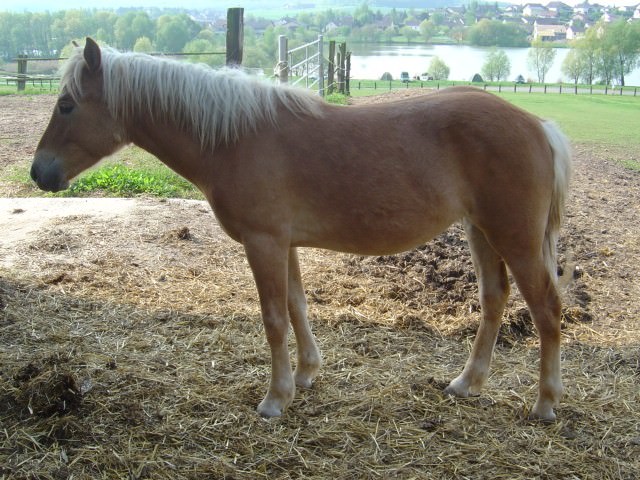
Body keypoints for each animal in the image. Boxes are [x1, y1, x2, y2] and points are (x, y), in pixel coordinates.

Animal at [31, 37, 568, 420]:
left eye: (66, 105)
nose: (40, 173)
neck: (234, 137)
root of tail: (538, 126)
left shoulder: (263, 241)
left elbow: (273, 319)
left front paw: (275, 398)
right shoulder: (282, 243)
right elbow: (297, 306)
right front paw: (307, 374)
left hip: (516, 239)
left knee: (546, 309)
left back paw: (544, 404)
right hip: (482, 233)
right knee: (494, 300)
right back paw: (467, 383)